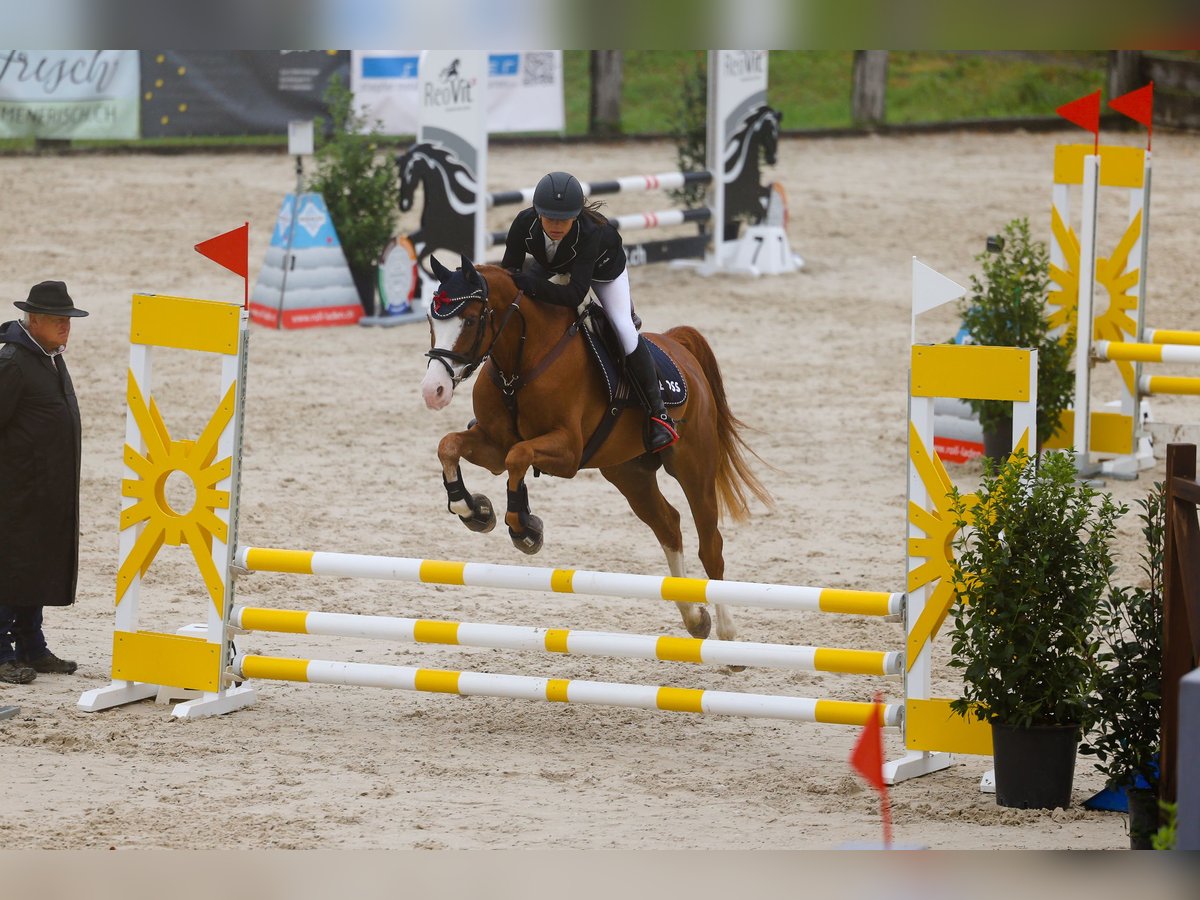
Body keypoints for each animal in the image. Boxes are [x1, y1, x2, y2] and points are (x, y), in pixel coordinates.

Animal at [422, 256, 772, 643]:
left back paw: (726, 631)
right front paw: (475, 510)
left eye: (470, 320)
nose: (433, 391)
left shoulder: (568, 451)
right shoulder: (494, 445)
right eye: (431, 320)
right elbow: (450, 446)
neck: (521, 364)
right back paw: (695, 618)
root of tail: (677, 345)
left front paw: (525, 529)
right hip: (628, 472)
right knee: (668, 524)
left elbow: (520, 457)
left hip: (694, 466)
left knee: (710, 544)